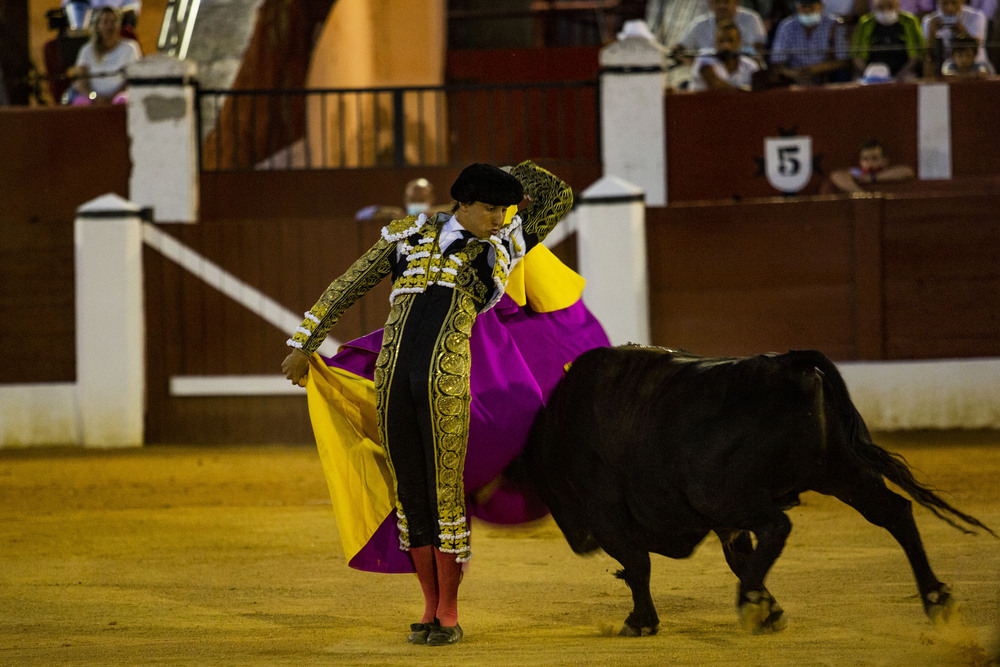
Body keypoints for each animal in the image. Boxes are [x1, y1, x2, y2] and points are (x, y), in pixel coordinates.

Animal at [520, 344, 996, 636]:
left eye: (546, 489)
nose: (579, 542)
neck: (561, 430)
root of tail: (787, 364)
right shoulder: (723, 521)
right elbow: (739, 557)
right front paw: (771, 608)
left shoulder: (609, 516)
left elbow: (638, 566)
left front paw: (641, 622)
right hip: (840, 473)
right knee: (895, 512)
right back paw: (936, 597)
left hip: (723, 492)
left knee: (779, 525)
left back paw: (748, 602)